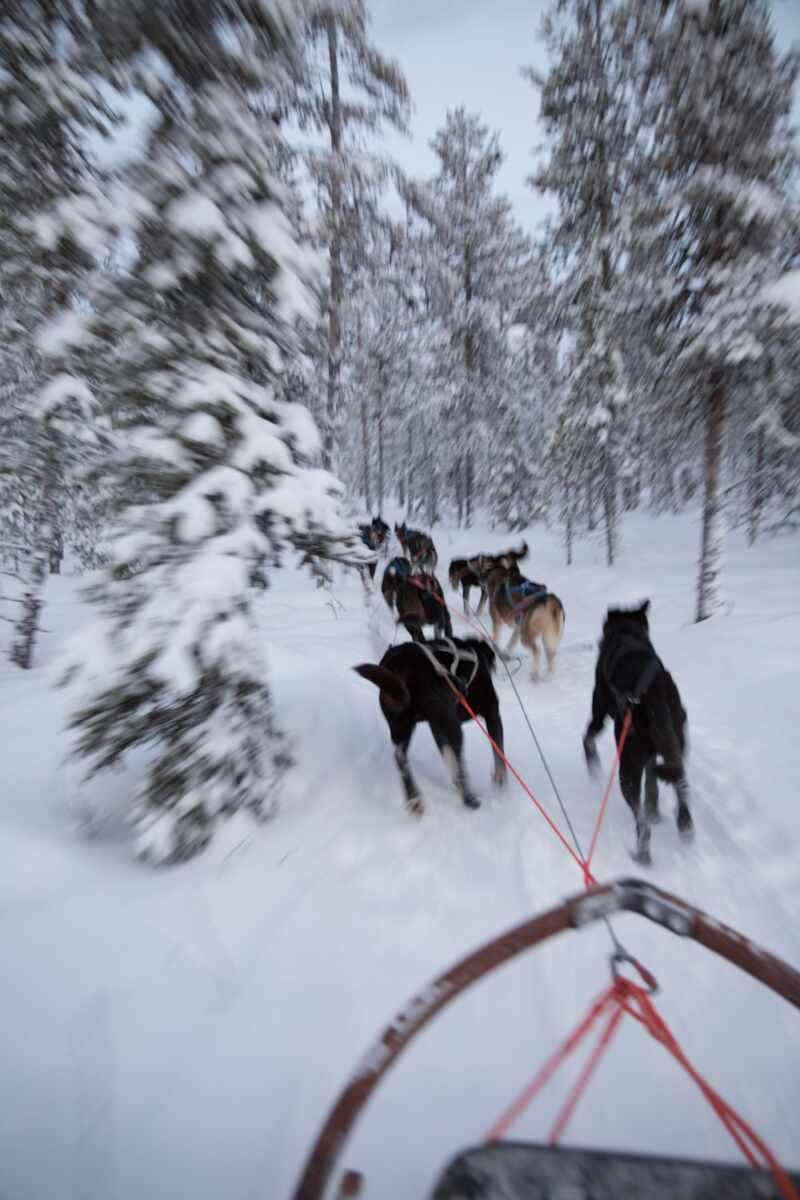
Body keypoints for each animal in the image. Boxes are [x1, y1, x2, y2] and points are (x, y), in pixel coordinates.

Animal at [352, 633, 503, 811]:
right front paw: (501, 784)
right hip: (450, 724)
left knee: (400, 756)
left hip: (402, 723)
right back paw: (469, 799)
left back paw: (414, 799)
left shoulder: (436, 728)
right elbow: (499, 755)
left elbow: (449, 759)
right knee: (460, 764)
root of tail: (397, 661)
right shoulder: (492, 713)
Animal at [585, 604, 690, 868]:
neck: (626, 632)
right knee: (680, 783)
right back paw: (685, 825)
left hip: (627, 766)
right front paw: (655, 811)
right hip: (675, 743)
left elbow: (588, 736)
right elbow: (652, 784)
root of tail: (652, 692)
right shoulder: (653, 755)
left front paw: (592, 763)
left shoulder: (599, 710)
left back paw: (642, 854)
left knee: (641, 822)